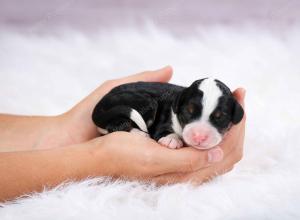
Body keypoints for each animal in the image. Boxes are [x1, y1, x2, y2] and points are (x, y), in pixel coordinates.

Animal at [92, 78, 245, 150]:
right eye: (188, 111)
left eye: (220, 117)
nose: (199, 137)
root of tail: (99, 104)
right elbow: (163, 129)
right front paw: (172, 139)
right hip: (143, 101)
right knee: (116, 125)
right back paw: (139, 133)